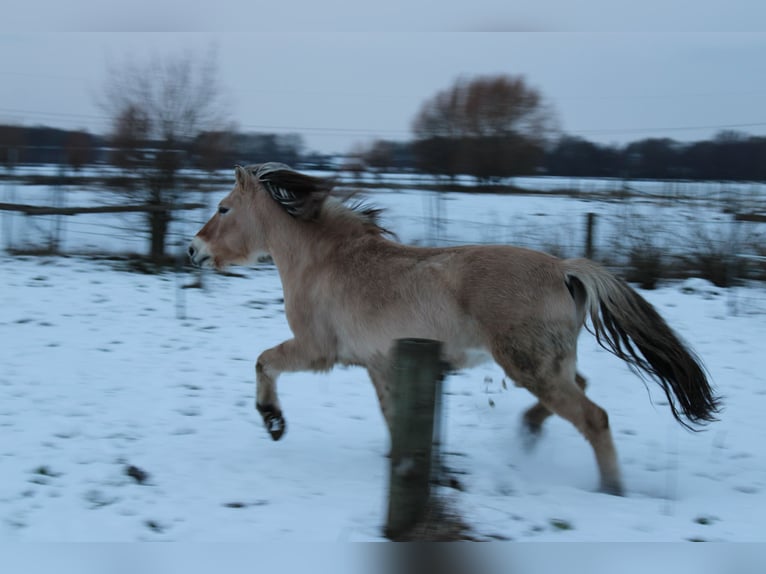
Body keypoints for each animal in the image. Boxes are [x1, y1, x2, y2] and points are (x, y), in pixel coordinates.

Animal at [188, 163, 720, 496]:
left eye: (223, 208)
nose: (193, 250)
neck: (324, 262)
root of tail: (563, 268)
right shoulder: (381, 364)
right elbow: (394, 415)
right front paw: (420, 469)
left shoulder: (319, 350)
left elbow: (264, 361)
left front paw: (273, 421)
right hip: (545, 364)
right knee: (579, 391)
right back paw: (529, 432)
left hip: (530, 365)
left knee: (594, 418)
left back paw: (611, 490)